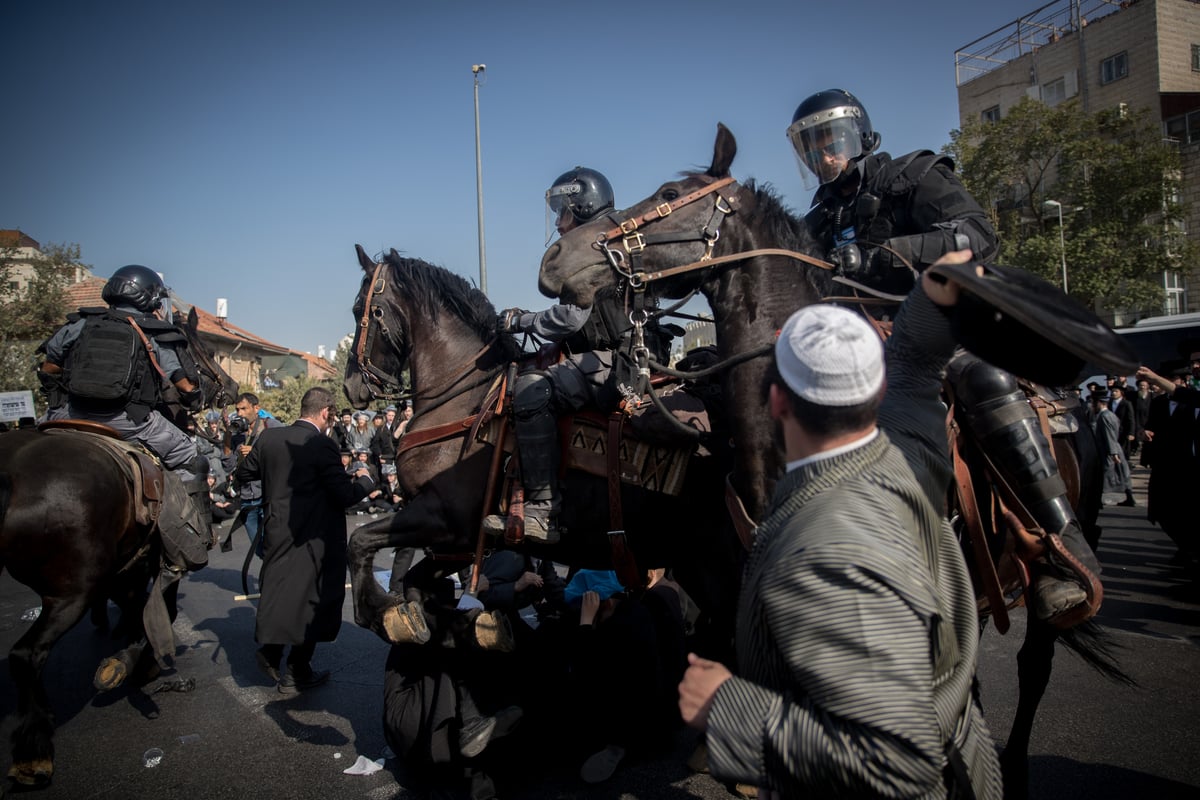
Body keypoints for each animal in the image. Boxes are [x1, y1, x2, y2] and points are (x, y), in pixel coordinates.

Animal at [0, 309, 235, 786]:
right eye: (200, 349)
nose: (232, 389)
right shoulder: (153, 562)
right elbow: (160, 607)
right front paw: (137, 661)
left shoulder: (128, 566)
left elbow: (138, 609)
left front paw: (127, 658)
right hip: (72, 589)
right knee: (25, 654)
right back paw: (34, 748)